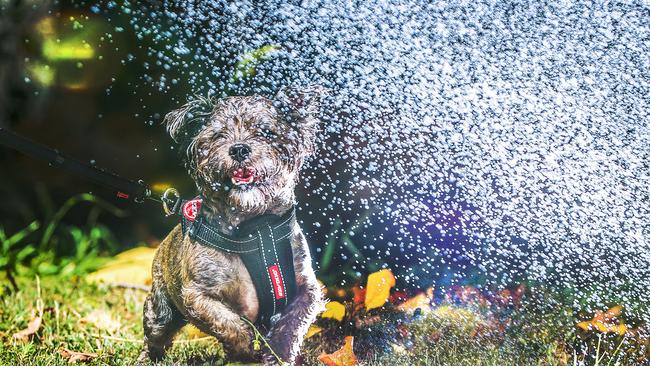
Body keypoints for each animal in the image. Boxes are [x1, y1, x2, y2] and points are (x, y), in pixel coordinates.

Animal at [139, 88, 326, 366]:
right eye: (218, 135)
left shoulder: (306, 289)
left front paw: (278, 354)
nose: (239, 149)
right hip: (161, 311)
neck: (256, 229)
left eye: (265, 132)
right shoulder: (198, 295)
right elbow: (229, 323)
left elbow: (291, 325)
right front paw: (244, 350)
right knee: (155, 334)